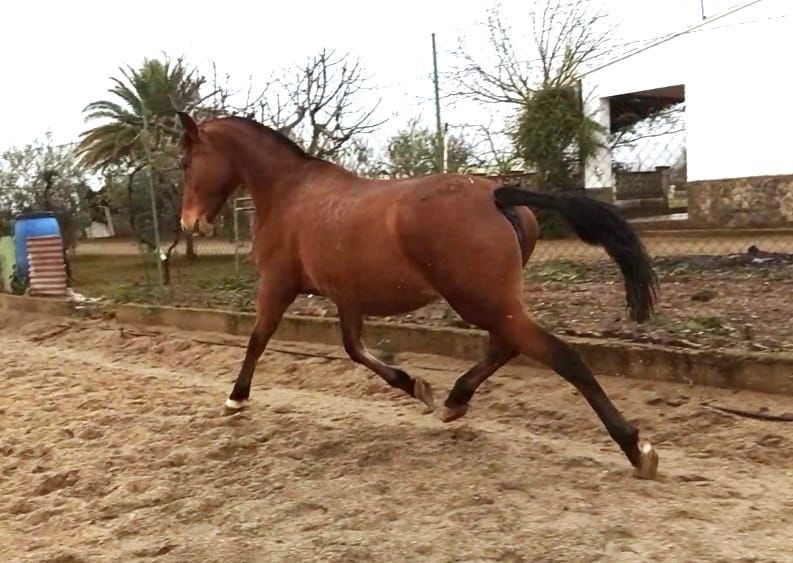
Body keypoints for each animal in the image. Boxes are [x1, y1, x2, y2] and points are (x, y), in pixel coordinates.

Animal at [176, 112, 660, 479]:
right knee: (506, 347)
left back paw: (637, 450)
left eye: (185, 160)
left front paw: (236, 398)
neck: (290, 192)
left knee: (561, 356)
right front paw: (417, 387)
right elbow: (354, 350)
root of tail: (497, 192)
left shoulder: (278, 284)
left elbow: (258, 338)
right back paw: (453, 402)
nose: (189, 223)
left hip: (481, 300)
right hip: (490, 302)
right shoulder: (347, 298)